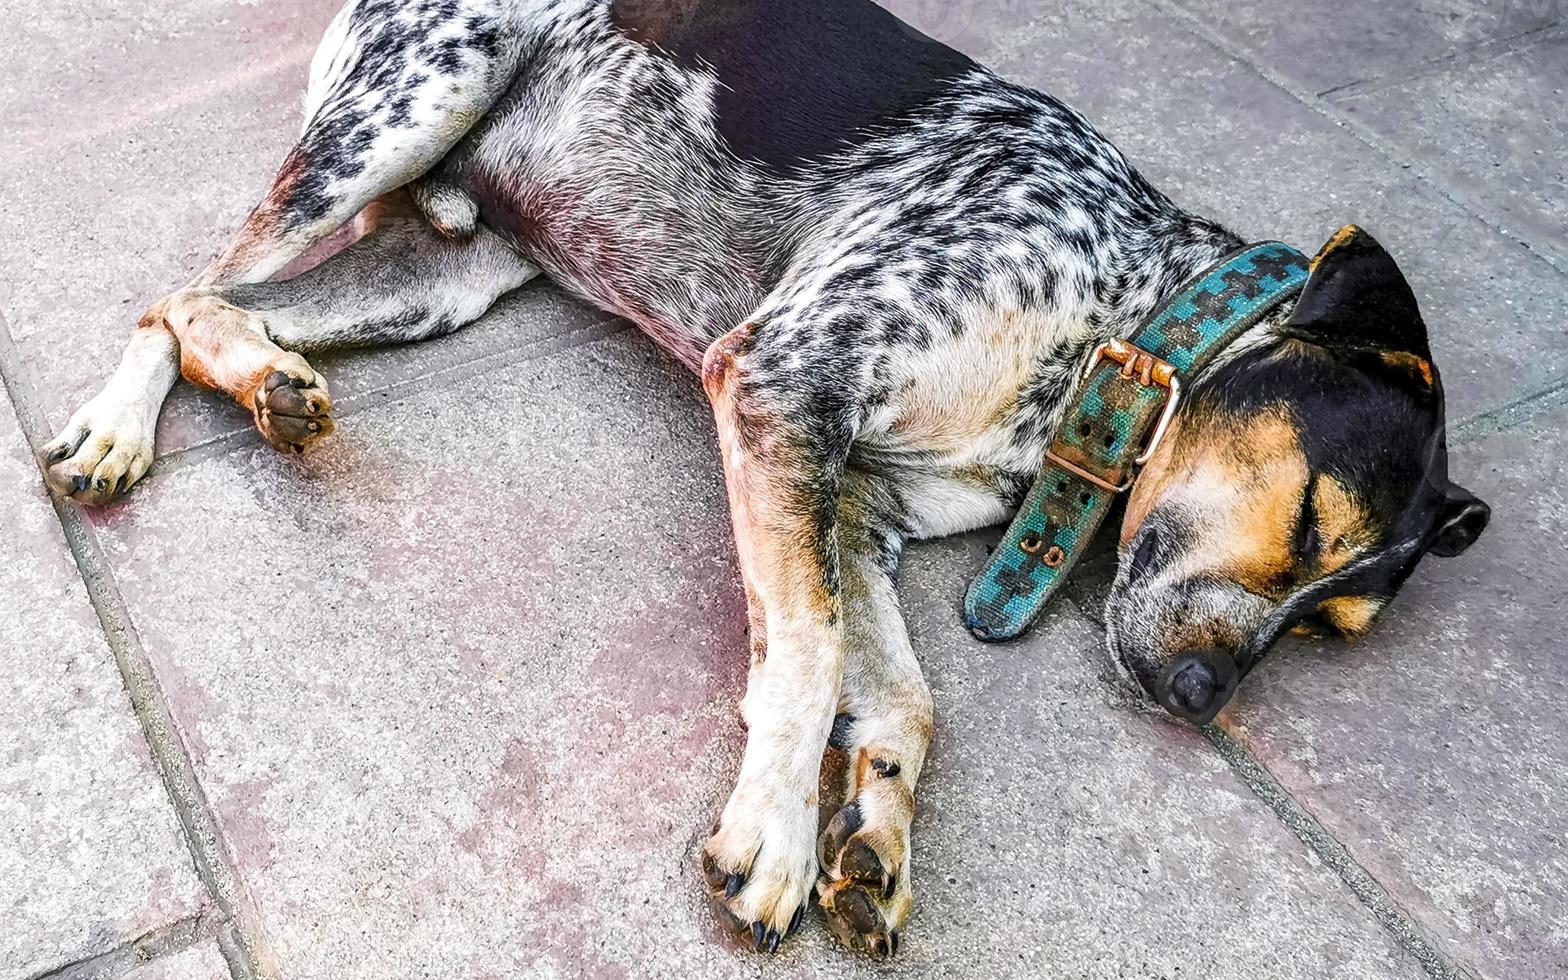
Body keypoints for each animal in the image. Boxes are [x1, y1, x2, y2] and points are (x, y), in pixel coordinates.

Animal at [33, 0, 1480, 959]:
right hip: (401, 112)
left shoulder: (854, 502)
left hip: (445, 275)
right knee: (181, 286)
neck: (1114, 319)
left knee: (216, 304)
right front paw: (777, 832)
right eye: (1309, 518)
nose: (1200, 701)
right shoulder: (782, 385)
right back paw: (123, 426)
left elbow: (899, 702)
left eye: (1334, 624)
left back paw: (262, 383)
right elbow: (811, 650)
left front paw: (872, 839)